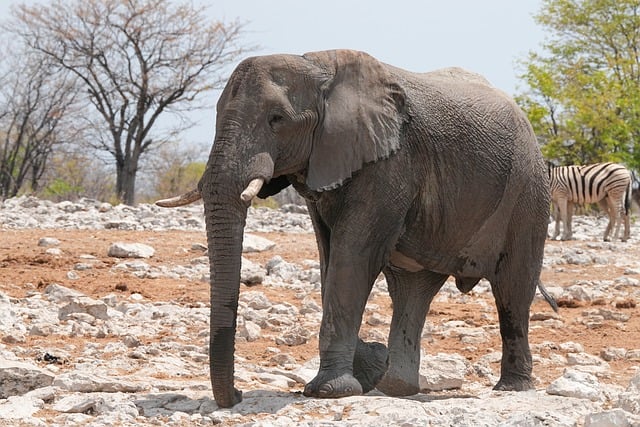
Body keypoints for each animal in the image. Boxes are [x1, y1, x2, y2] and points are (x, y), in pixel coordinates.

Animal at [156, 49, 554, 408]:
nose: (237, 395)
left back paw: (511, 388)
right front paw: (369, 368)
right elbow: (329, 257)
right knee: (413, 289)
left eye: (276, 119)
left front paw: (330, 390)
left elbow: (353, 256)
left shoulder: (390, 161)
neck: (316, 66)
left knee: (513, 289)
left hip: (528, 191)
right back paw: (396, 386)